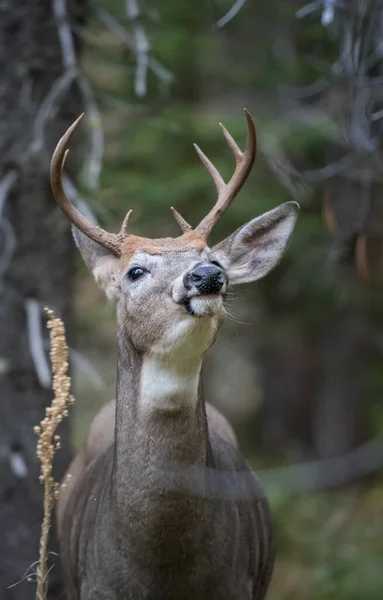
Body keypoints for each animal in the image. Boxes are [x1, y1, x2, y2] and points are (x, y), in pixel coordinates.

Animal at [49, 109, 298, 600]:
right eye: (135, 271)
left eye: (215, 261)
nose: (205, 277)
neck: (163, 565)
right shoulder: (95, 586)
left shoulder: (236, 584)